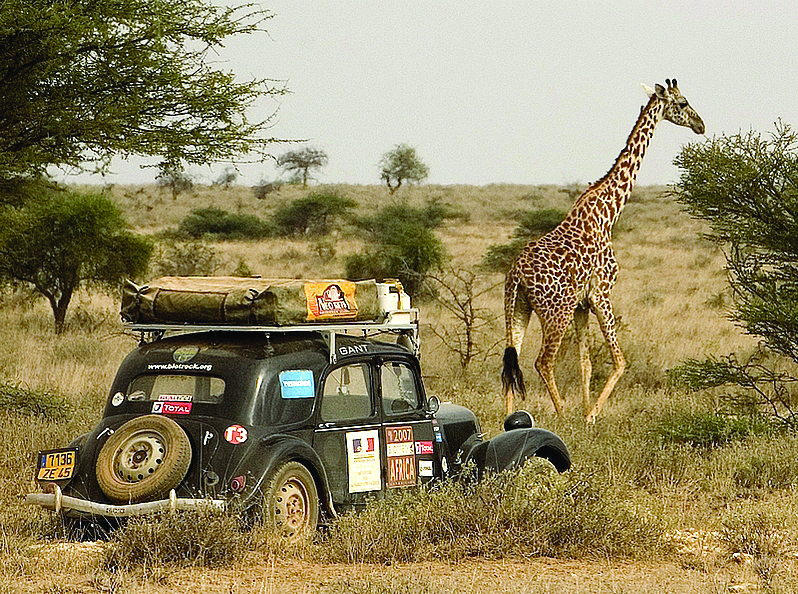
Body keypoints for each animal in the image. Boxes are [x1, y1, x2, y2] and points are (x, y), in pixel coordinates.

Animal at [506, 78, 708, 420]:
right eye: (682, 103)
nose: (701, 125)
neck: (608, 212)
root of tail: (517, 274)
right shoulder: (601, 293)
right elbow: (620, 361)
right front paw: (590, 416)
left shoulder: (581, 305)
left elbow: (586, 364)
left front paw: (588, 411)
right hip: (555, 311)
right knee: (542, 362)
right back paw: (562, 417)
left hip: (517, 308)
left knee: (511, 362)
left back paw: (507, 420)